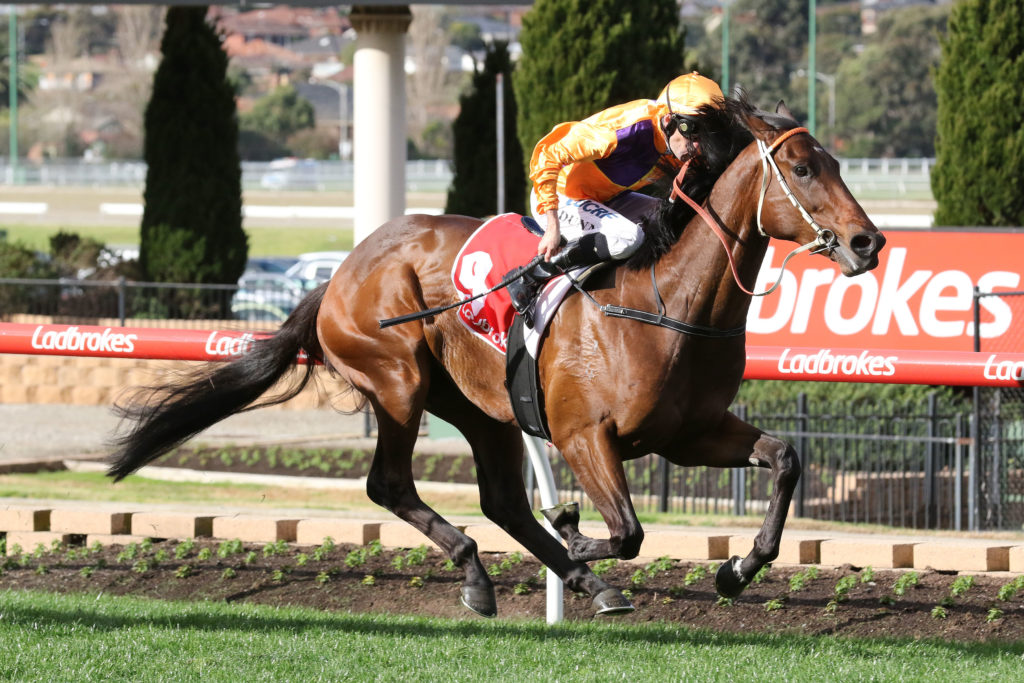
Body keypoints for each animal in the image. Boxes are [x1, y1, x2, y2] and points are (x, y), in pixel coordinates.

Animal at [108, 98, 885, 619]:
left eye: (835, 163)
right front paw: (574, 528)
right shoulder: (584, 434)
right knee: (390, 484)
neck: (668, 302)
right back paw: (483, 575)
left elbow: (785, 459)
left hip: (485, 410)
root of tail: (341, 271)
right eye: (802, 167)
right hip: (399, 380)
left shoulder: (687, 432)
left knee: (502, 501)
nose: (867, 242)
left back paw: (577, 582)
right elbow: (627, 531)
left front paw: (736, 569)